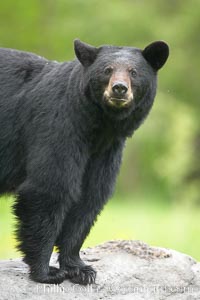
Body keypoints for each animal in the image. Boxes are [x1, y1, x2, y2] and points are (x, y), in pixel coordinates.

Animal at [0, 39, 169, 284]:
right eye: (107, 70)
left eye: (134, 72)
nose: (119, 88)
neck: (97, 125)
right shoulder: (58, 126)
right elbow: (50, 188)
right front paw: (46, 272)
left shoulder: (105, 150)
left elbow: (89, 197)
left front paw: (80, 268)